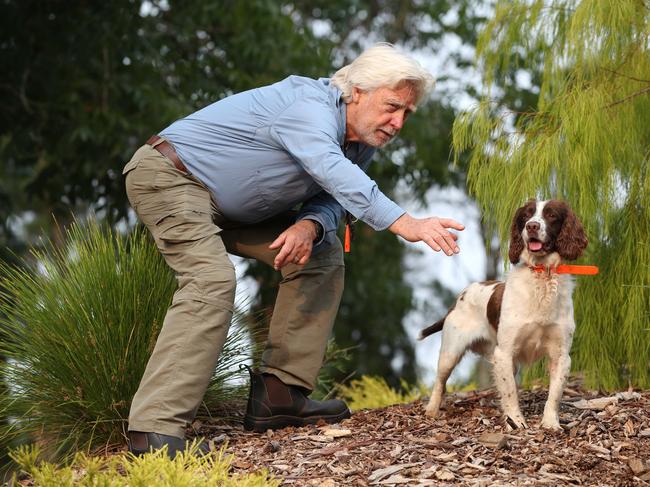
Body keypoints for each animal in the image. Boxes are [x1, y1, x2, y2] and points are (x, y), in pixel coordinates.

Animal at [420, 199, 588, 430]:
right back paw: (431, 410)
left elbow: (554, 394)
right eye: (526, 216)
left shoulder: (561, 355)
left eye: (551, 215)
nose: (532, 226)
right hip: (450, 352)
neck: (541, 277)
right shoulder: (504, 352)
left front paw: (550, 423)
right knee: (440, 382)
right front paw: (516, 422)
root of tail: (460, 297)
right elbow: (509, 393)